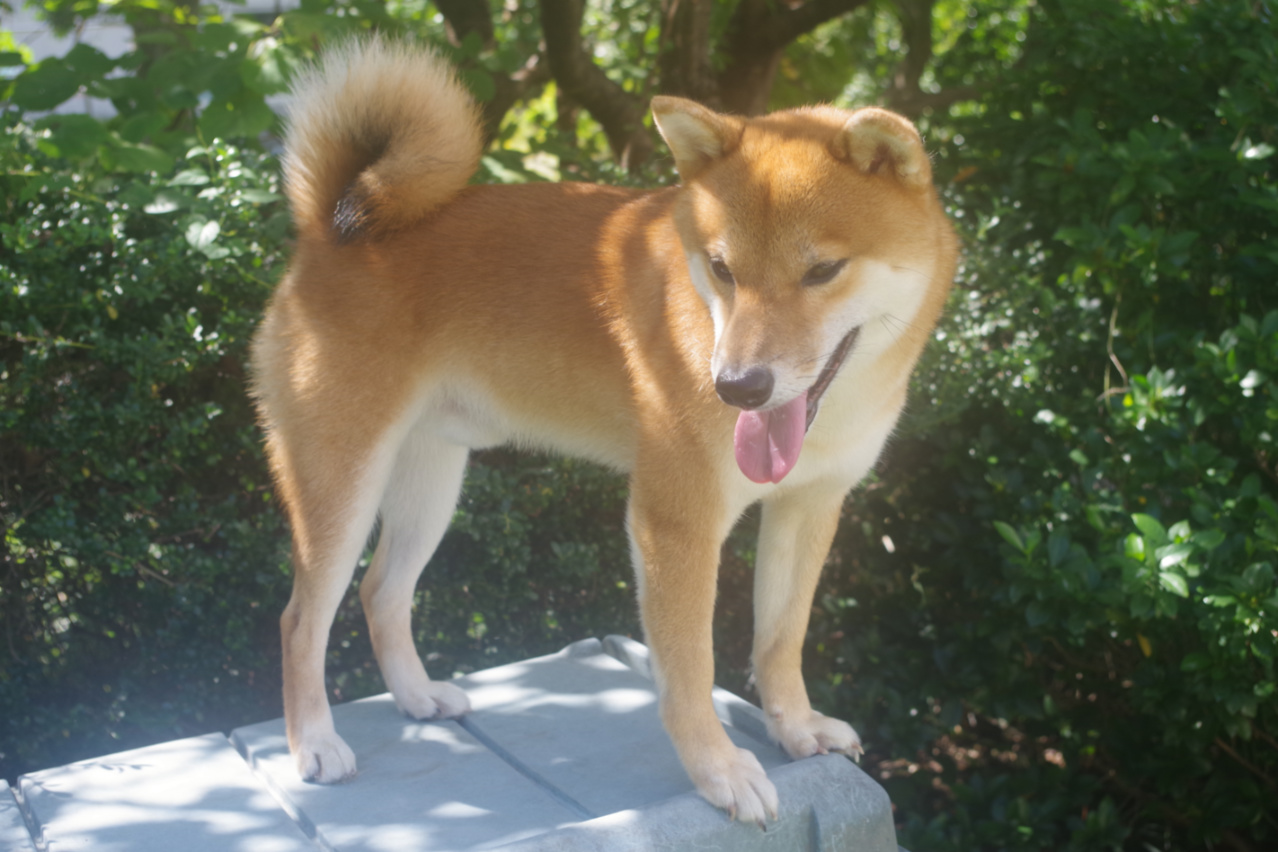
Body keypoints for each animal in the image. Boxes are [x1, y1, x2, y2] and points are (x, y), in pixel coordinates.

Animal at [250, 38, 957, 824]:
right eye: (722, 269)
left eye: (824, 270)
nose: (736, 387)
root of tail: (329, 229)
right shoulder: (674, 523)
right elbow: (691, 668)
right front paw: (719, 770)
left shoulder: (809, 508)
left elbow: (780, 639)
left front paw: (795, 727)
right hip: (341, 483)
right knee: (299, 620)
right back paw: (314, 743)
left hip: (430, 484)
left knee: (382, 593)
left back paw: (417, 695)